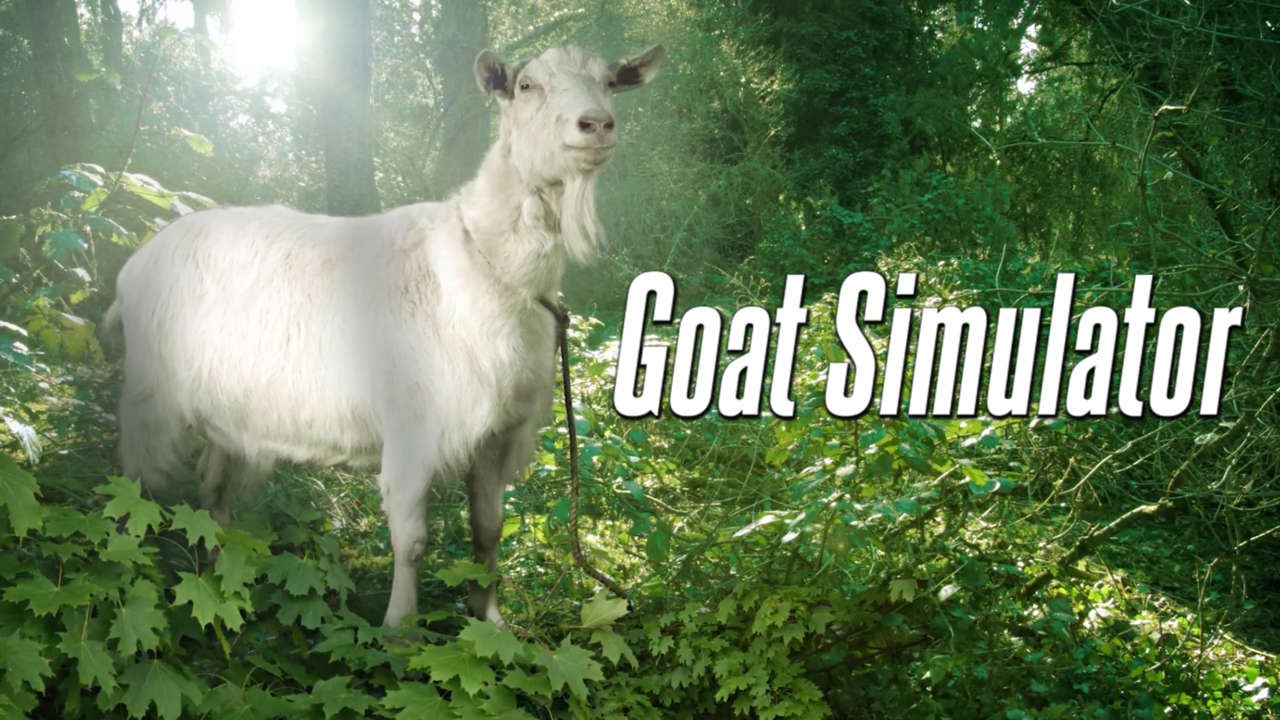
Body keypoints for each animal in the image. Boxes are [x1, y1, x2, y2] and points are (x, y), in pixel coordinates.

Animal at [103, 44, 664, 627]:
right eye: (527, 85)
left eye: (609, 82)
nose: (596, 125)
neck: (485, 264)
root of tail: (135, 266)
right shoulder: (413, 428)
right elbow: (412, 541)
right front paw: (399, 626)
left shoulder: (498, 434)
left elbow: (487, 531)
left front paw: (489, 620)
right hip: (149, 391)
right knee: (132, 484)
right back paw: (123, 565)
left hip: (227, 410)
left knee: (211, 482)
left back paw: (217, 567)